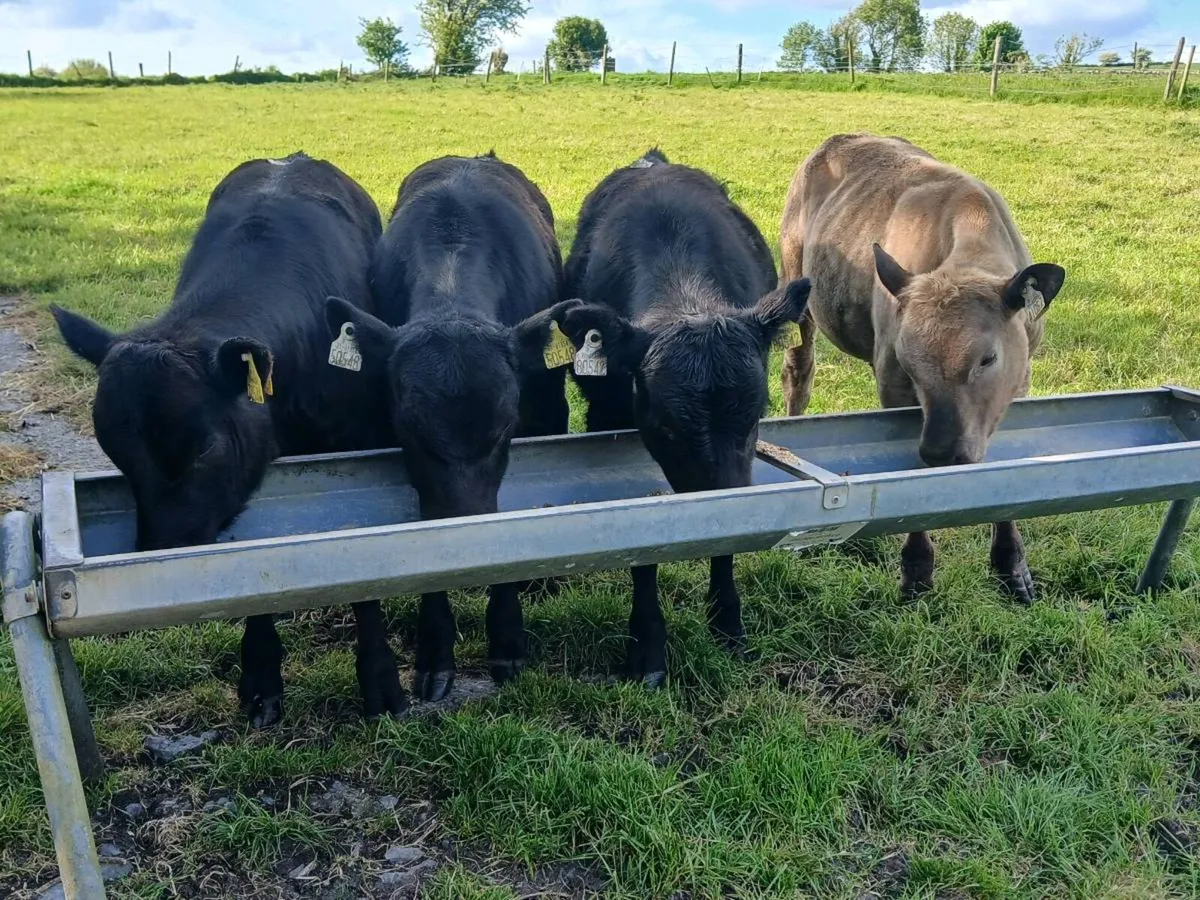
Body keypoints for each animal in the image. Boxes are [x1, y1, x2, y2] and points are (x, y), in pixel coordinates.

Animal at [49, 152, 407, 728]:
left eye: (204, 449)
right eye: (117, 456)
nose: (162, 560)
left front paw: (379, 682)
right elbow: (244, 573)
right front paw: (260, 678)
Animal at [779, 134, 1066, 602]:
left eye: (988, 358)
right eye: (909, 361)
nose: (942, 451)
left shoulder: (1018, 384)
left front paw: (1012, 566)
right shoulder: (892, 381)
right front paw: (916, 570)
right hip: (796, 291)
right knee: (798, 369)